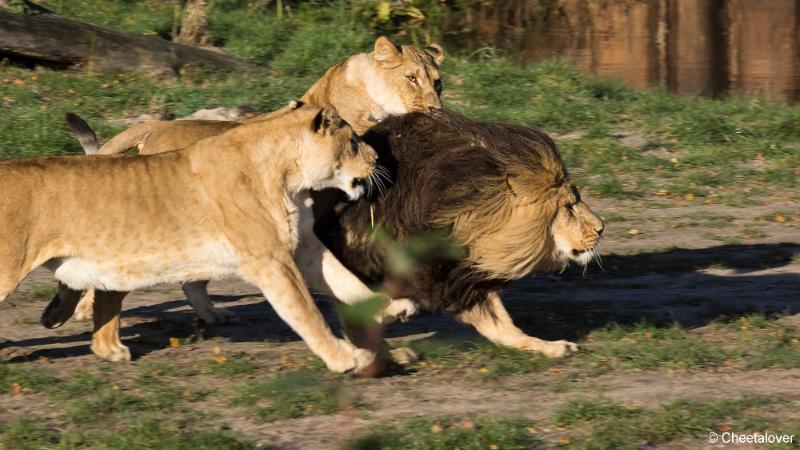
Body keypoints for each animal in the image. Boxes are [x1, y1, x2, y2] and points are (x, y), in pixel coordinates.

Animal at [0, 103, 384, 374]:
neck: (290, 176)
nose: (377, 158)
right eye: (353, 143)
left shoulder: (303, 247)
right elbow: (306, 313)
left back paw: (96, 340)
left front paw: (388, 309)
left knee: (102, 297)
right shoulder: (272, 260)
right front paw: (343, 358)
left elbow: (345, 280)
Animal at [54, 34, 444, 324]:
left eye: (438, 84)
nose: (436, 110)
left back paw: (212, 315)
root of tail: (157, 125)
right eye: (411, 78)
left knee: (191, 281)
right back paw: (88, 309)